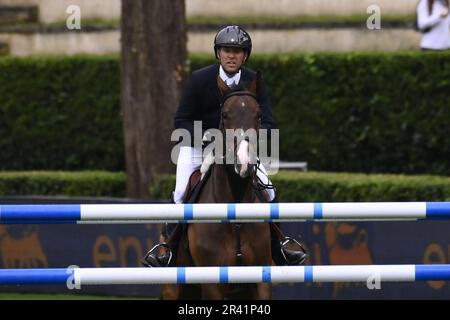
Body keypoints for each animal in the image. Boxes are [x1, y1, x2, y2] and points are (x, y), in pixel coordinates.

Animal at [163, 73, 272, 300]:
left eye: (258, 115)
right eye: (225, 115)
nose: (244, 162)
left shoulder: (261, 280)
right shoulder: (212, 284)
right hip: (173, 288)